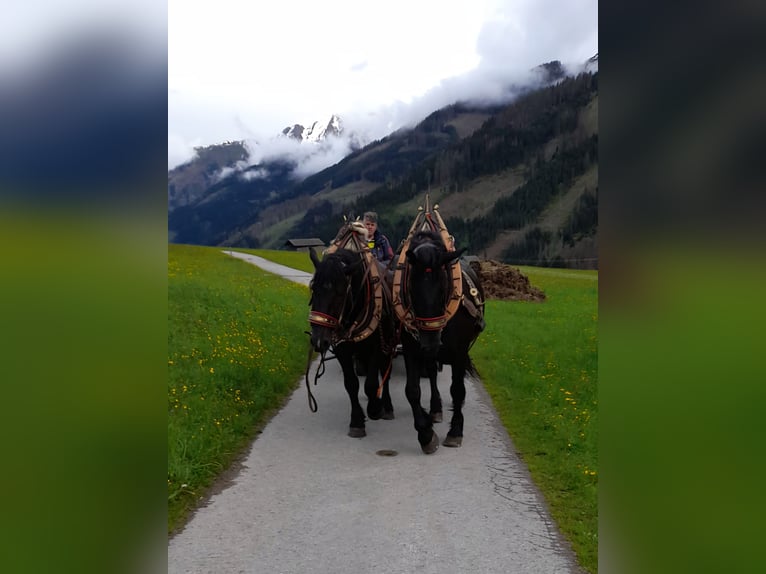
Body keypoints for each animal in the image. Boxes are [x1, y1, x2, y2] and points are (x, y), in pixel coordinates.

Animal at [308, 246, 396, 438]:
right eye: (313, 289)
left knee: (386, 371)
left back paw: (387, 406)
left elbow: (371, 384)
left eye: (341, 292)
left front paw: (375, 408)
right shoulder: (342, 347)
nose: (318, 340)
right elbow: (351, 383)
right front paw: (356, 421)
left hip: (389, 342)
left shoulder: (378, 346)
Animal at [396, 230, 485, 454]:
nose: (430, 343)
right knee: (432, 374)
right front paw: (425, 434)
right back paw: (435, 408)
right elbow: (412, 390)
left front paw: (455, 431)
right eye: (411, 287)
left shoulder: (459, 351)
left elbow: (457, 389)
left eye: (444, 285)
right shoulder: (411, 348)